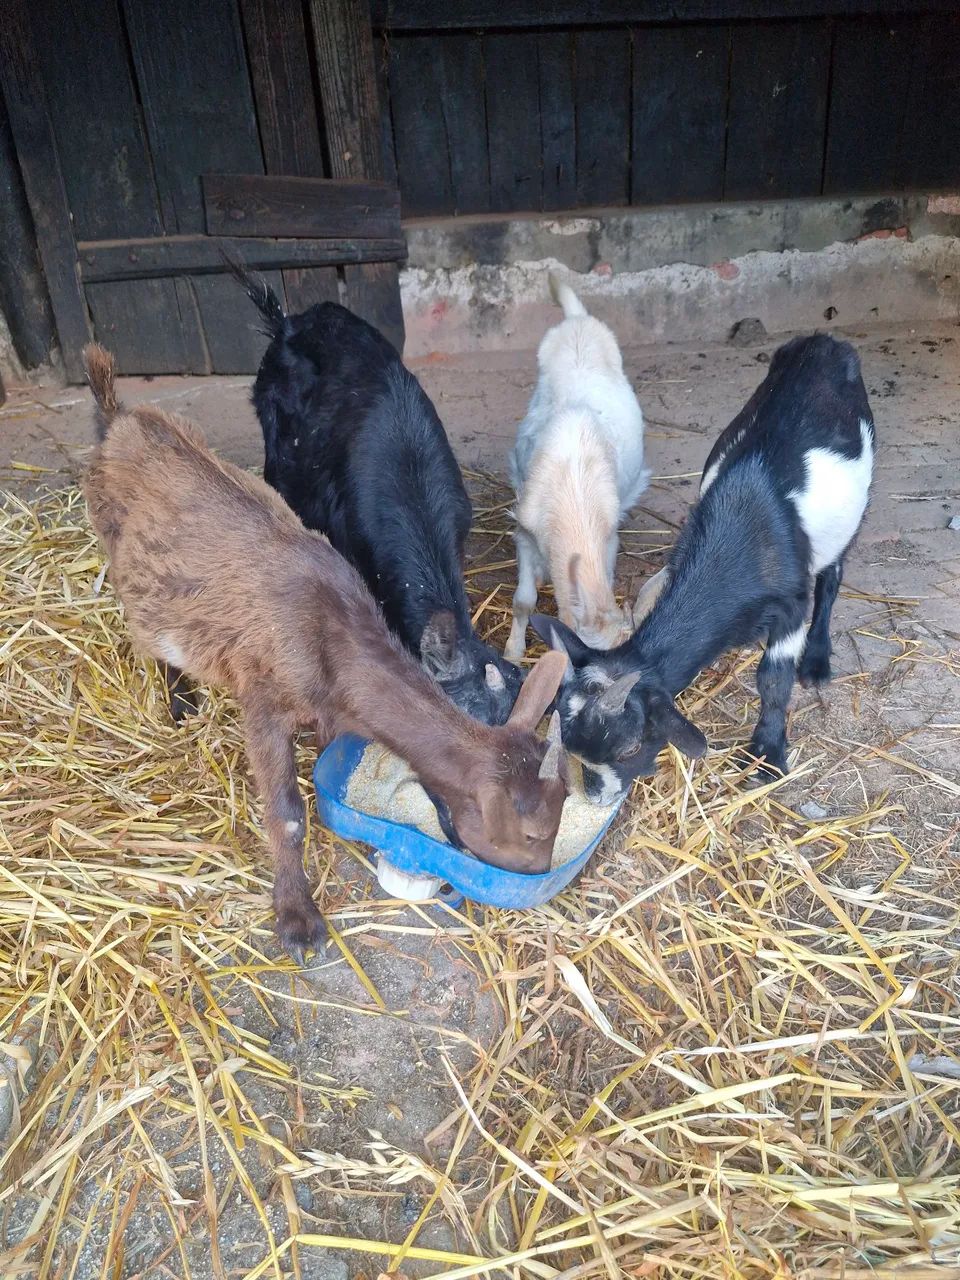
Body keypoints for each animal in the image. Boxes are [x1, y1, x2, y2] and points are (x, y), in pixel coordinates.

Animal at [82, 345, 569, 963]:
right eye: (532, 833)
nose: (538, 874)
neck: (331, 634)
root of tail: (118, 419)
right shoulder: (261, 697)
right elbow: (287, 814)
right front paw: (297, 920)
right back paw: (179, 697)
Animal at [531, 334, 875, 804]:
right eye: (567, 741)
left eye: (631, 747)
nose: (597, 796)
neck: (741, 531)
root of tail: (824, 342)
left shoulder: (789, 603)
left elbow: (773, 679)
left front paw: (767, 754)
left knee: (833, 576)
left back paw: (817, 660)